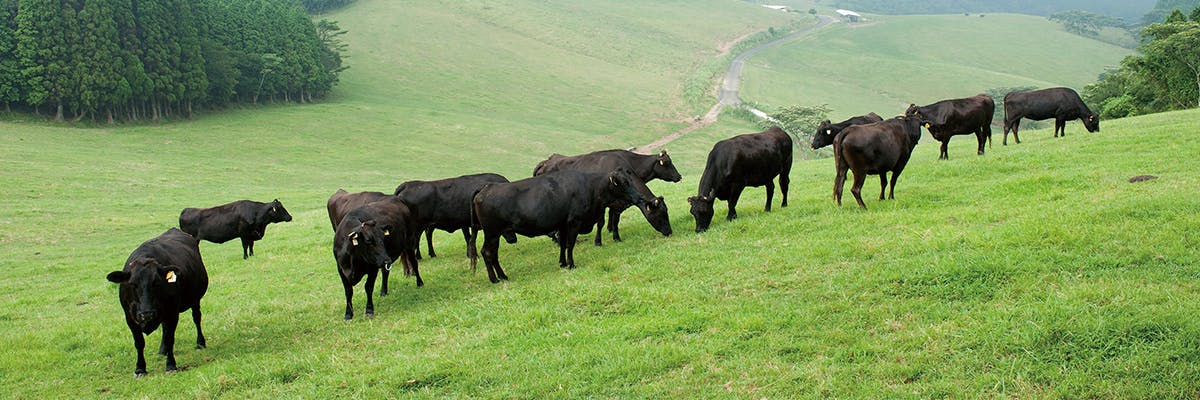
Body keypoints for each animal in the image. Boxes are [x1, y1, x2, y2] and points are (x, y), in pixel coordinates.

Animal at [105, 227, 208, 377]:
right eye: (133, 284)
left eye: (156, 282)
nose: (147, 313)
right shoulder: (129, 317)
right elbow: (139, 342)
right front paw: (140, 368)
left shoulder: (172, 313)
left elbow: (170, 338)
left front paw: (171, 365)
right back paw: (162, 350)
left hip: (195, 299)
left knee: (196, 318)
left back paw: (200, 342)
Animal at [470, 168, 657, 283]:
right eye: (624, 184)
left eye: (630, 180)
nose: (639, 197)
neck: (590, 187)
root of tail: (486, 188)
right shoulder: (574, 222)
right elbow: (570, 244)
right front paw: (571, 264)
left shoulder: (562, 225)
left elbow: (562, 245)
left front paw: (562, 263)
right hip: (492, 233)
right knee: (487, 252)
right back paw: (495, 279)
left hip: (495, 234)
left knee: (493, 254)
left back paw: (502, 276)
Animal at [532, 148, 681, 245]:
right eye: (661, 214)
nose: (669, 232)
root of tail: (546, 161)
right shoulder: (602, 204)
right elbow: (601, 223)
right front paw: (598, 241)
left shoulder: (618, 204)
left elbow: (615, 220)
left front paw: (616, 237)